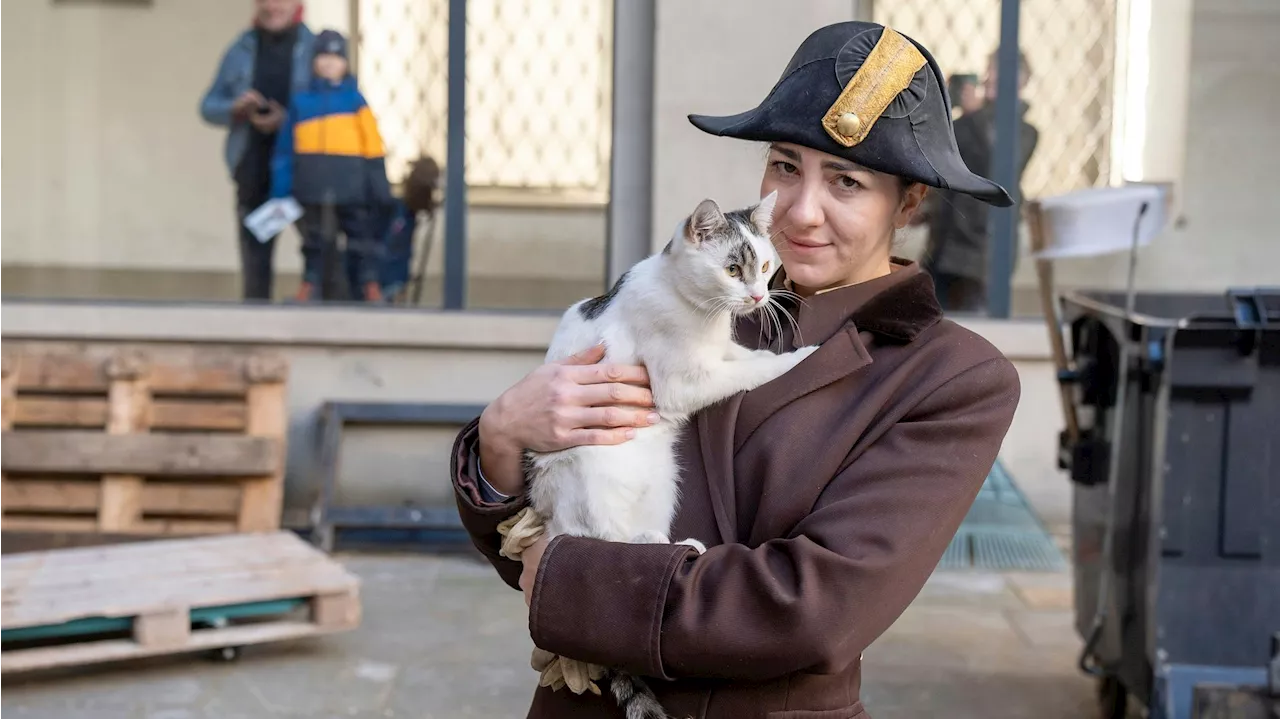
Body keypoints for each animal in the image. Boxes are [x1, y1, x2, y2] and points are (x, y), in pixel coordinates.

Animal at [522, 190, 814, 716]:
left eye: (764, 266)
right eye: (733, 270)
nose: (759, 297)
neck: (700, 311)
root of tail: (549, 516)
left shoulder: (720, 354)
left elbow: (747, 359)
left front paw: (775, 353)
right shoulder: (682, 384)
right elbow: (753, 371)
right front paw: (800, 358)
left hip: (663, 481)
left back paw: (672, 543)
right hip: (592, 472)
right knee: (602, 539)